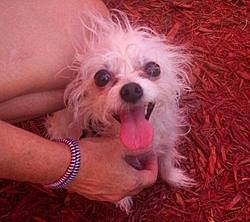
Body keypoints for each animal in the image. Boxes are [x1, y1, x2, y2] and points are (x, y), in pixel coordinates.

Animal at [46, 10, 193, 212]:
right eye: (102, 77)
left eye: (153, 68)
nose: (130, 90)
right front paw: (122, 200)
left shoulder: (167, 140)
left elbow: (166, 163)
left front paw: (175, 178)